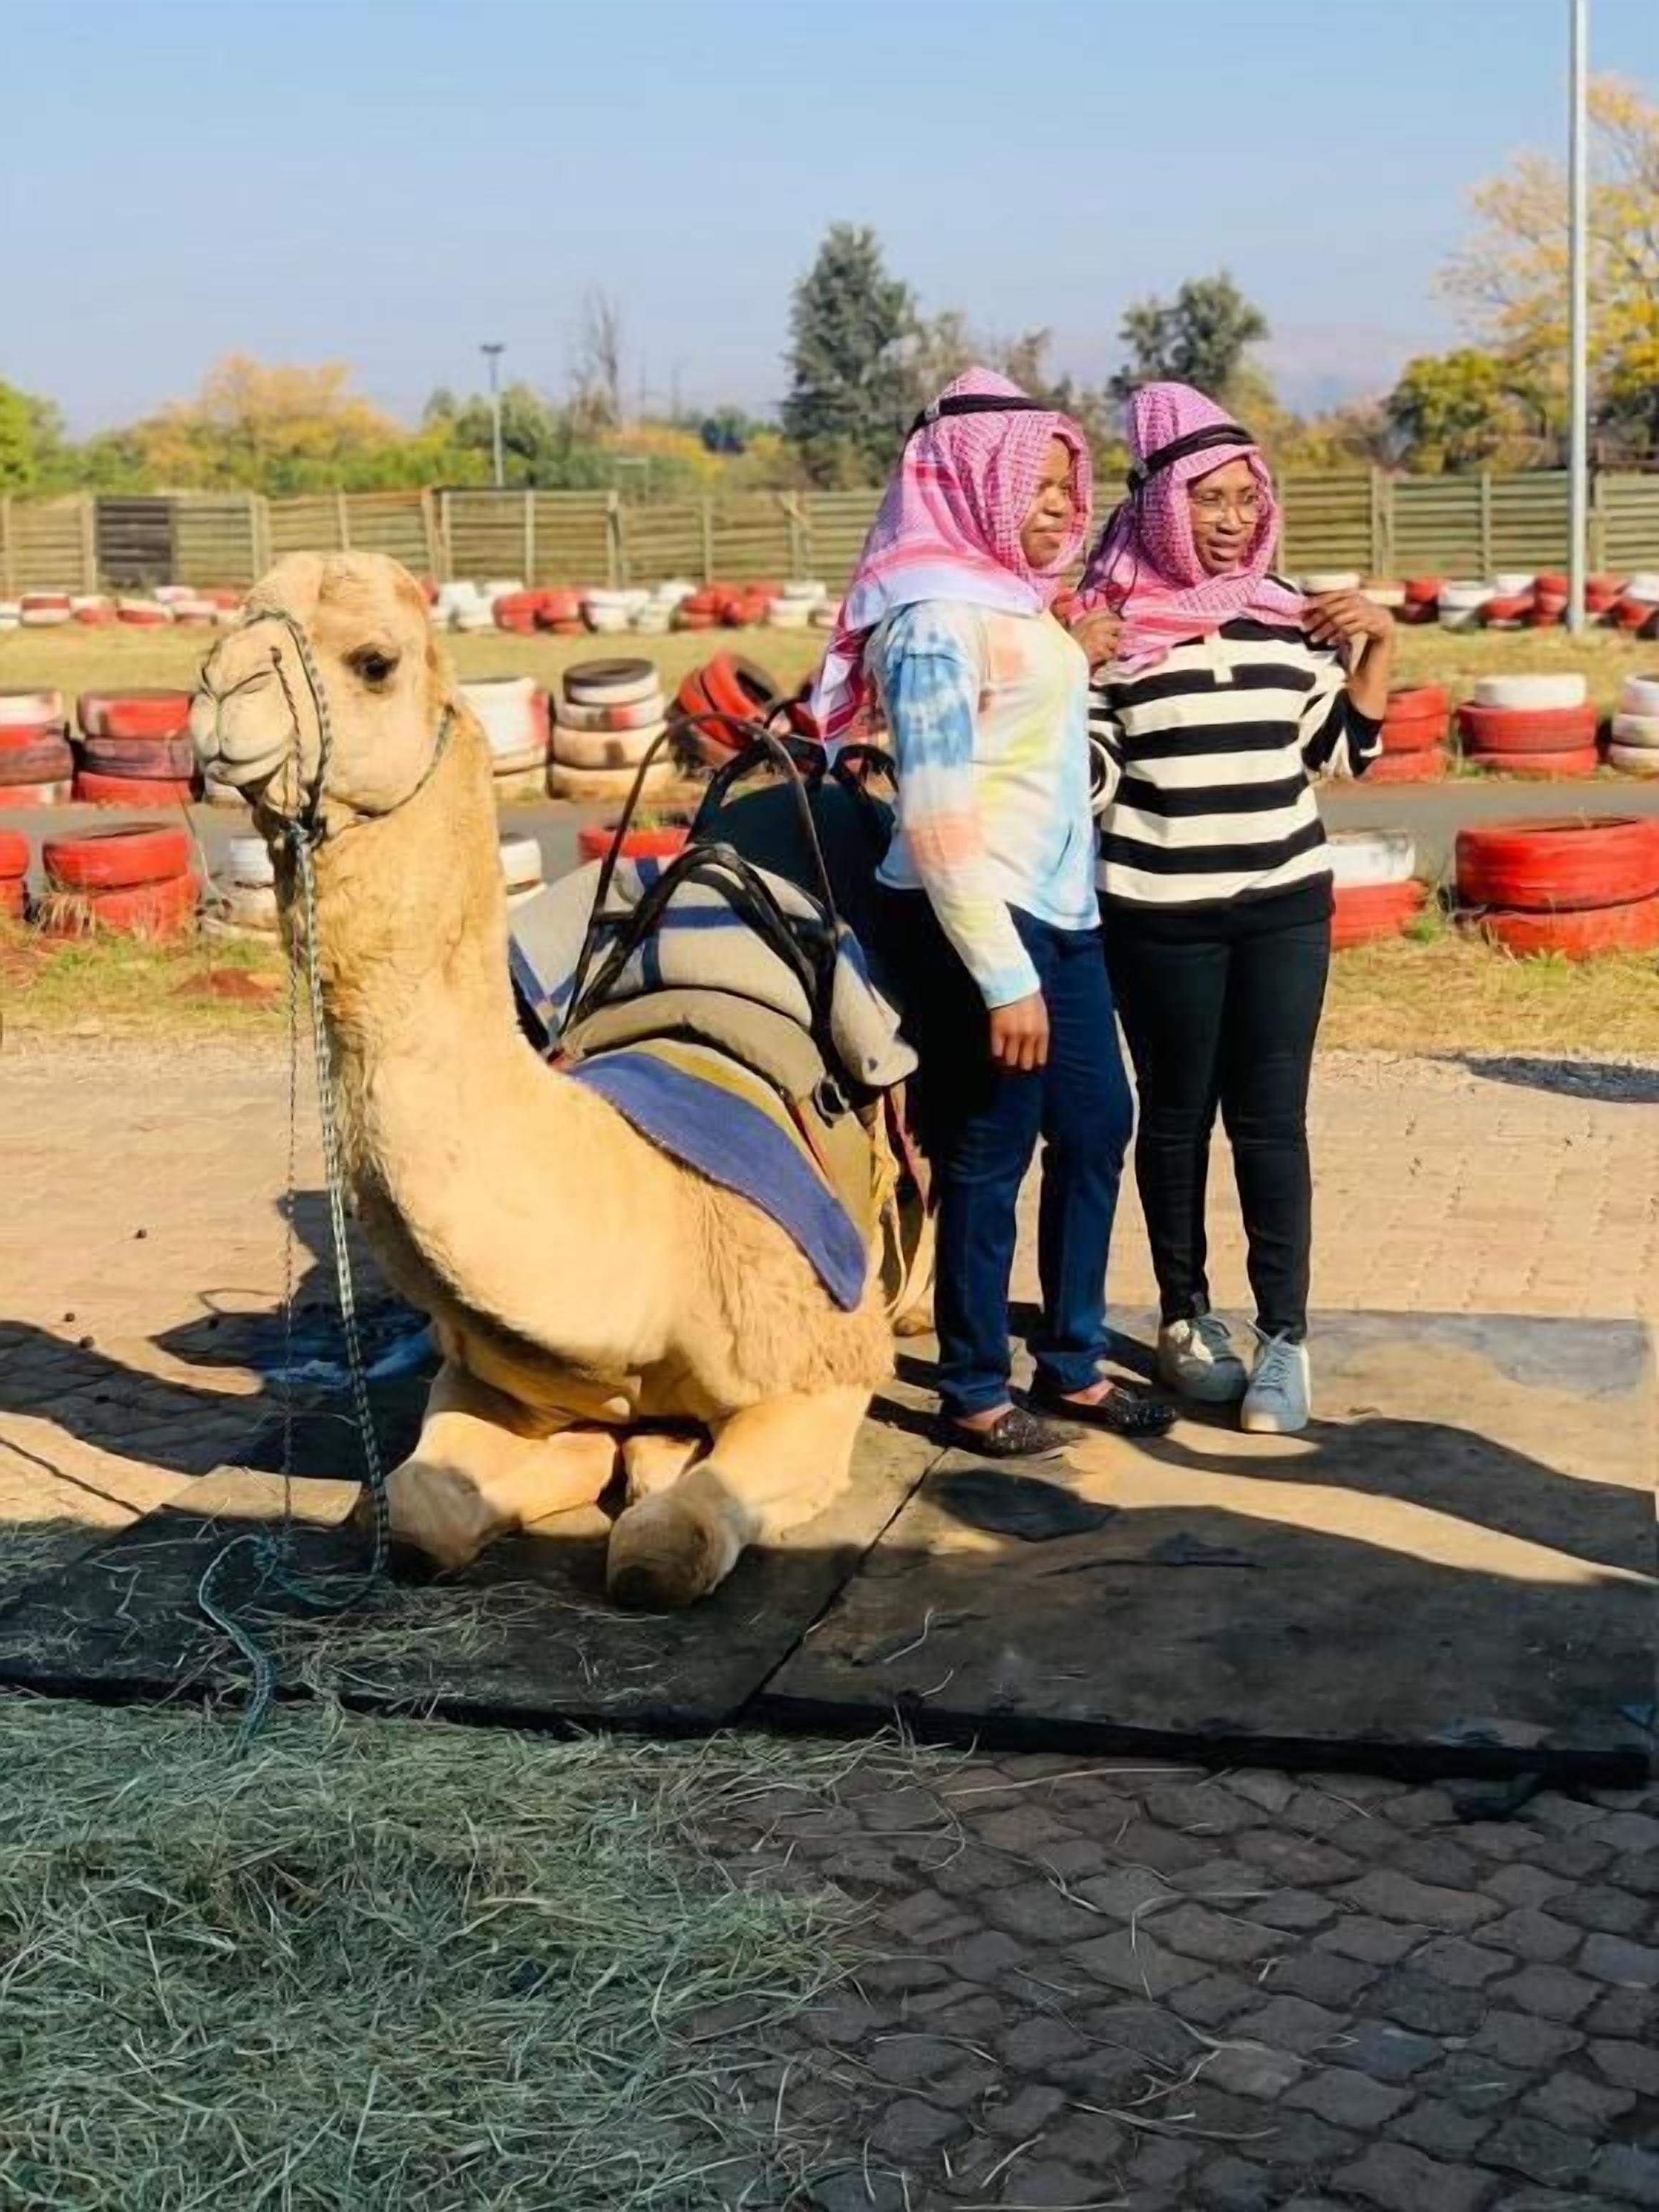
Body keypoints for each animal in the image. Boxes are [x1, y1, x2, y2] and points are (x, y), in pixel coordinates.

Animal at [191, 552, 896, 1610]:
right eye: (231, 623)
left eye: (373, 662)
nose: (214, 696)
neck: (653, 1226)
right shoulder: (488, 1378)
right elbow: (419, 1513)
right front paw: (596, 1454)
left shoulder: (822, 1366)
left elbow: (665, 1549)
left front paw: (650, 1481)